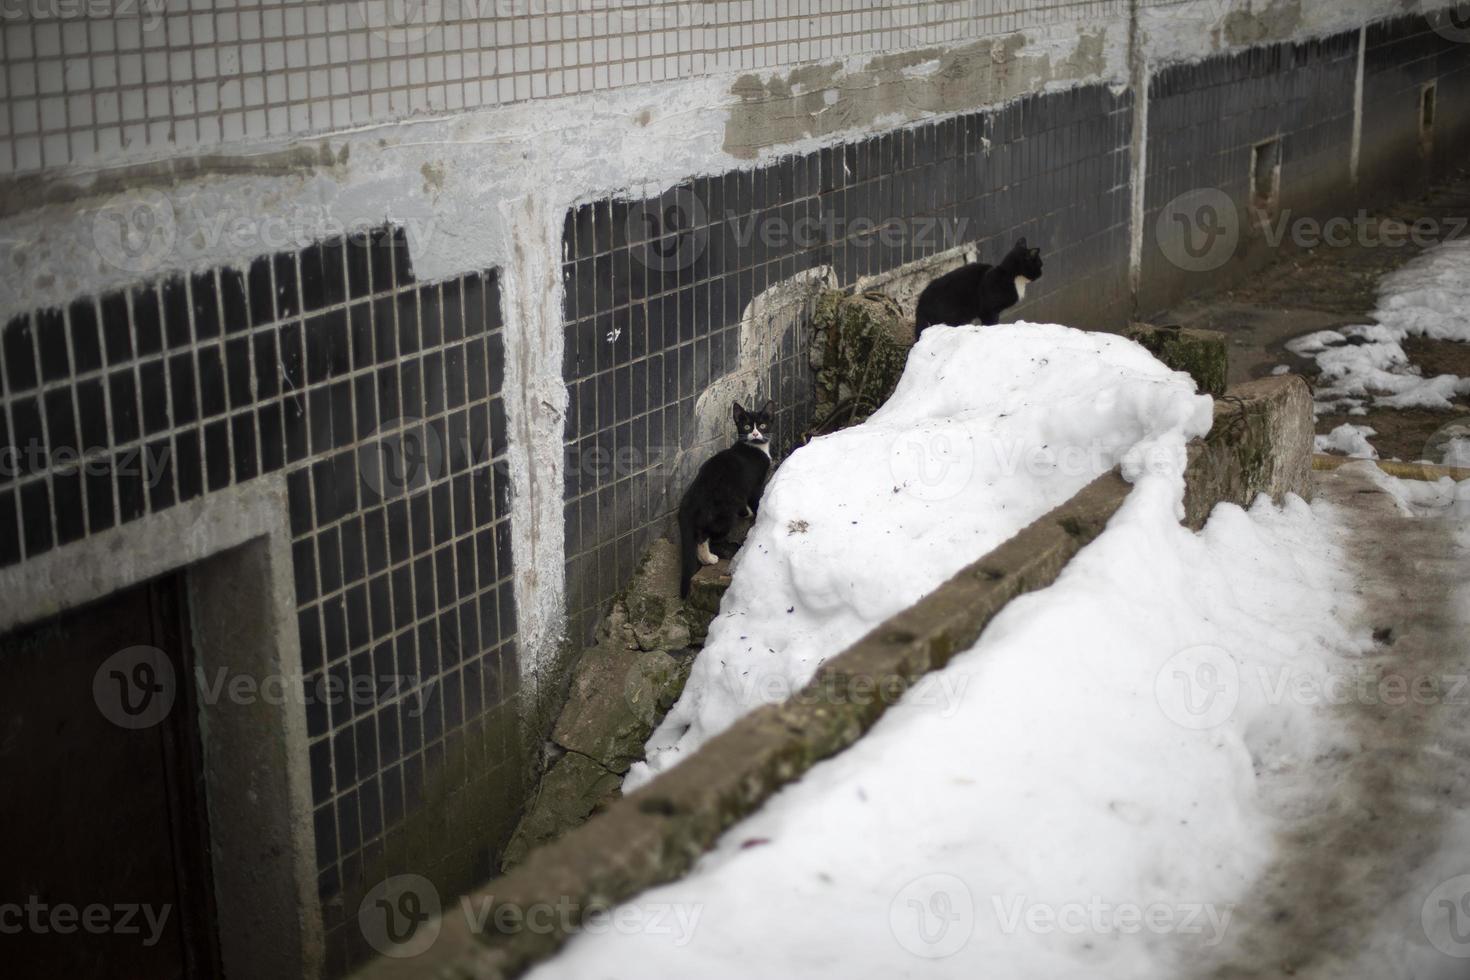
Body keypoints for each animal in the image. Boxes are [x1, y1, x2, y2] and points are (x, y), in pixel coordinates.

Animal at [676, 399, 776, 599]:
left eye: (762, 425)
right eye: (747, 426)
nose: (755, 433)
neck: (753, 447)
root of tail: (691, 497)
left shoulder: (741, 491)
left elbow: (743, 503)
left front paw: (746, 513)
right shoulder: (755, 484)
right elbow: (755, 500)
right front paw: (757, 515)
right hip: (722, 517)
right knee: (703, 535)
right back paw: (708, 558)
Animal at [911, 238, 1040, 333]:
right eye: (1040, 265)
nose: (1041, 274)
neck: (1010, 275)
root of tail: (921, 302)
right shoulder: (988, 310)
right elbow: (991, 323)